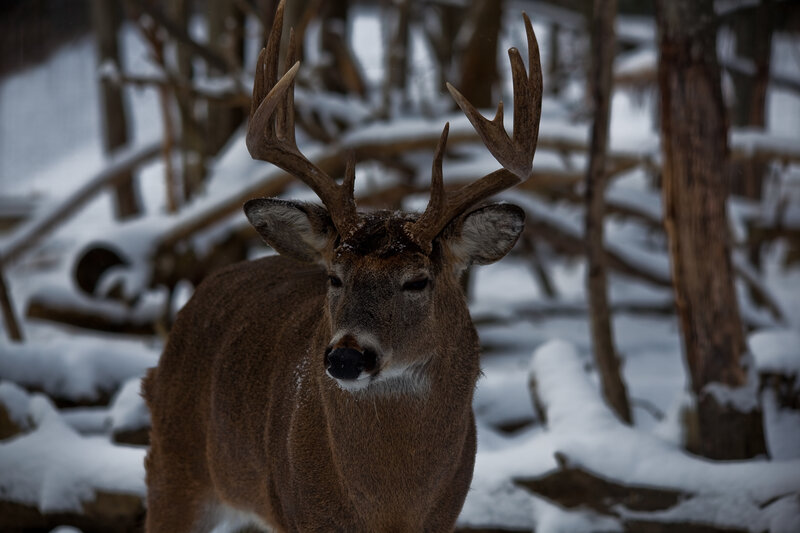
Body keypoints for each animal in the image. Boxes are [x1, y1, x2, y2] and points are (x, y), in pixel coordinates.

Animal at [142, 2, 542, 531]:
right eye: (334, 277)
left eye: (417, 281)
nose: (347, 357)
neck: (391, 507)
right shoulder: (302, 512)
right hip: (173, 465)